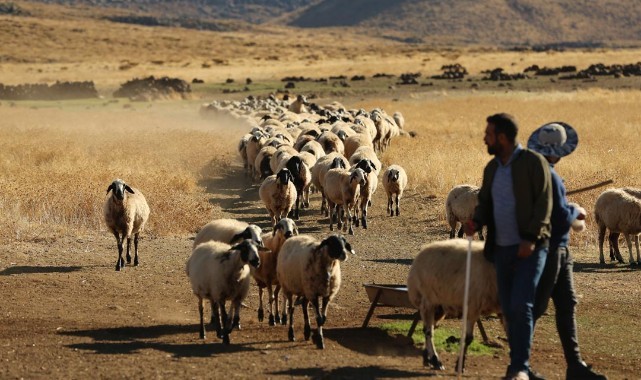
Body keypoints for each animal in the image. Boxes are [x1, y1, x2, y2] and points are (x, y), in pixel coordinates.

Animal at [408, 239, 502, 370]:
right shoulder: (473, 306)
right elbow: (468, 338)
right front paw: (459, 366)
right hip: (428, 301)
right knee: (428, 331)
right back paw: (436, 360)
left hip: (439, 306)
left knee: (428, 328)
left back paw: (427, 358)